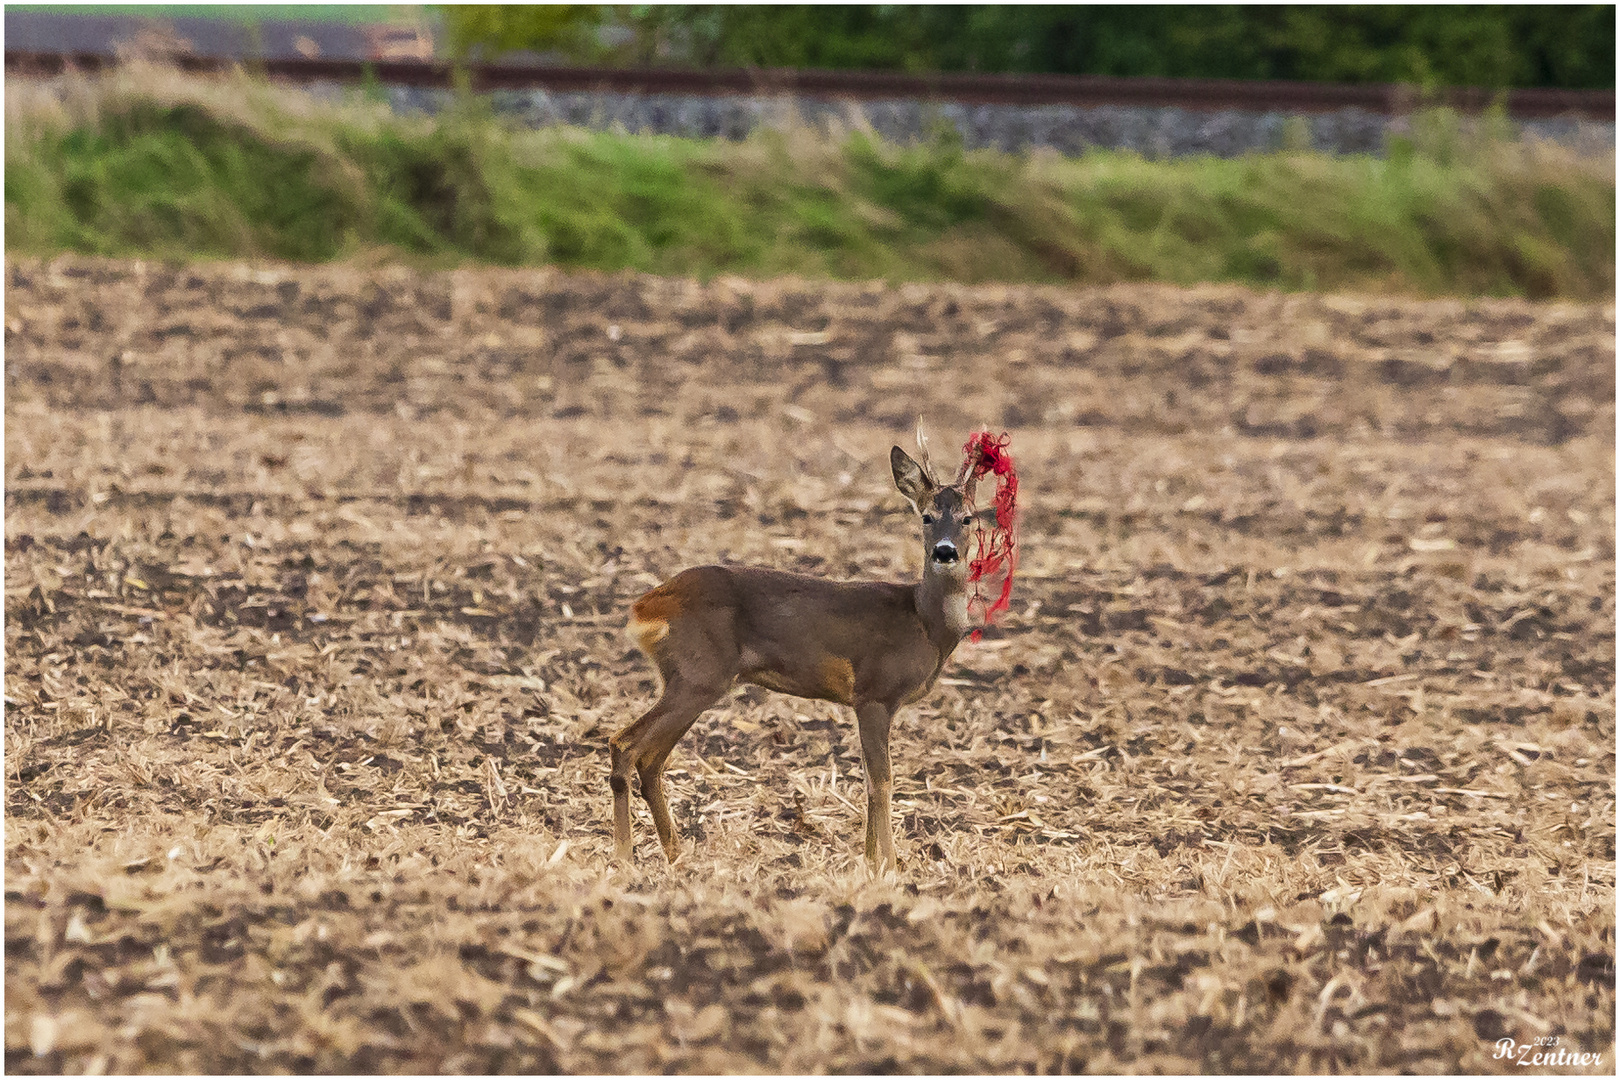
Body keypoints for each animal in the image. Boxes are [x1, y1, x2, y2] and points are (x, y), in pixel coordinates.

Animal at [609, 440, 1010, 867]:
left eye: (967, 519)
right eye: (927, 516)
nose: (945, 552)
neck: (922, 621)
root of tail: (645, 607)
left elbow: (870, 779)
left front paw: (870, 859)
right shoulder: (873, 693)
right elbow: (882, 780)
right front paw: (889, 864)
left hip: (692, 680)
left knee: (650, 759)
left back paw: (674, 852)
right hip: (698, 674)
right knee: (625, 744)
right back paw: (624, 855)